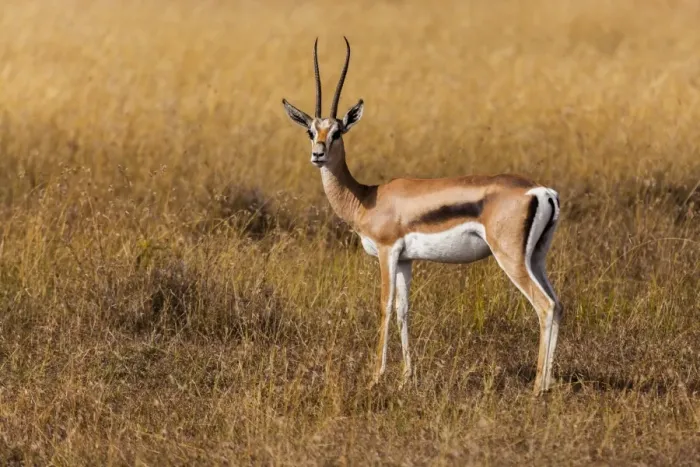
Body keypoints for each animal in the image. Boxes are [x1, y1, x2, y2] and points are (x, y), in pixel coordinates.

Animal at [282, 38, 563, 394]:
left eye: (338, 132)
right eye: (310, 131)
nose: (317, 154)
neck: (367, 198)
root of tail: (541, 191)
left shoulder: (387, 252)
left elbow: (385, 306)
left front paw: (376, 376)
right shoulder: (405, 259)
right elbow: (404, 310)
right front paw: (407, 376)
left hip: (511, 258)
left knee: (544, 306)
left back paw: (538, 387)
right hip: (536, 258)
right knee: (557, 304)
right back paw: (548, 383)